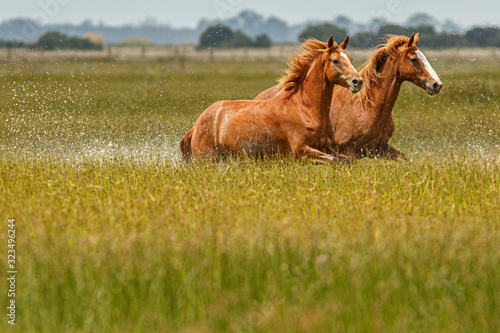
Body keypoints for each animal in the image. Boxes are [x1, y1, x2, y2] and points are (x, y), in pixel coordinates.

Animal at [180, 36, 364, 163]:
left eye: (350, 59)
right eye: (336, 60)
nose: (358, 81)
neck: (306, 108)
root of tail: (197, 123)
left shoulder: (326, 147)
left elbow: (346, 161)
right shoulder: (302, 151)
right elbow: (335, 161)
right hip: (206, 159)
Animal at [256, 33, 444, 160]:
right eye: (414, 59)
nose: (437, 84)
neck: (368, 107)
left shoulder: (380, 148)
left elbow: (405, 159)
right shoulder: (348, 151)